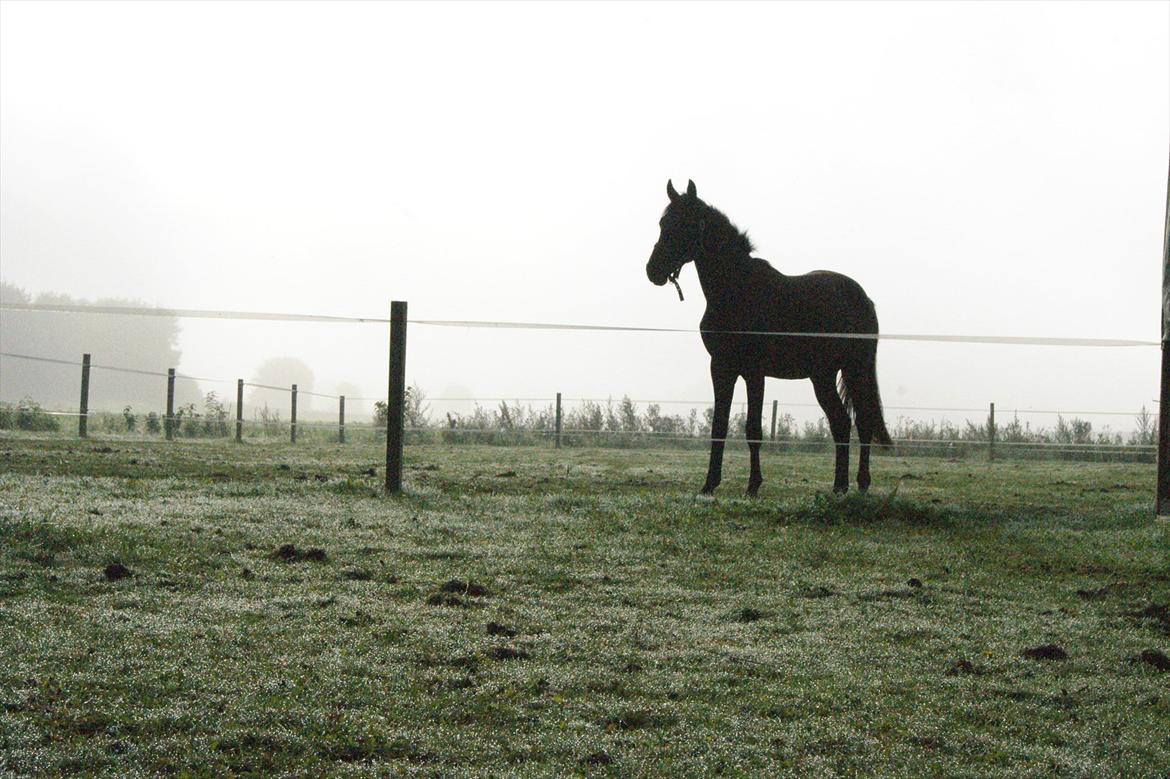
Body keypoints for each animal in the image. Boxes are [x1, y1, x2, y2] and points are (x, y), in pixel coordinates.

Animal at [645, 180, 889, 491]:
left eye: (686, 224)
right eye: (663, 223)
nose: (653, 271)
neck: (736, 289)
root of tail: (863, 298)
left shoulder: (753, 371)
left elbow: (752, 429)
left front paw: (753, 485)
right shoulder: (721, 367)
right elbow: (719, 425)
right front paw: (710, 484)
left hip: (855, 368)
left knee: (863, 420)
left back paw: (861, 483)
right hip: (822, 376)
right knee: (842, 423)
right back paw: (839, 486)